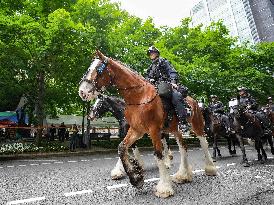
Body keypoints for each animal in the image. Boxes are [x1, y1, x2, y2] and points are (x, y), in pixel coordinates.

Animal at [77, 50, 216, 198]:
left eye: (98, 69)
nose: (82, 91)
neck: (139, 97)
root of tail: (195, 101)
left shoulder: (153, 130)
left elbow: (157, 154)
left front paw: (164, 187)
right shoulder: (136, 130)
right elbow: (122, 148)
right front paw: (136, 176)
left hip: (197, 124)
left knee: (203, 143)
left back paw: (210, 168)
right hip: (174, 129)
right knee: (183, 147)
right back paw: (183, 175)